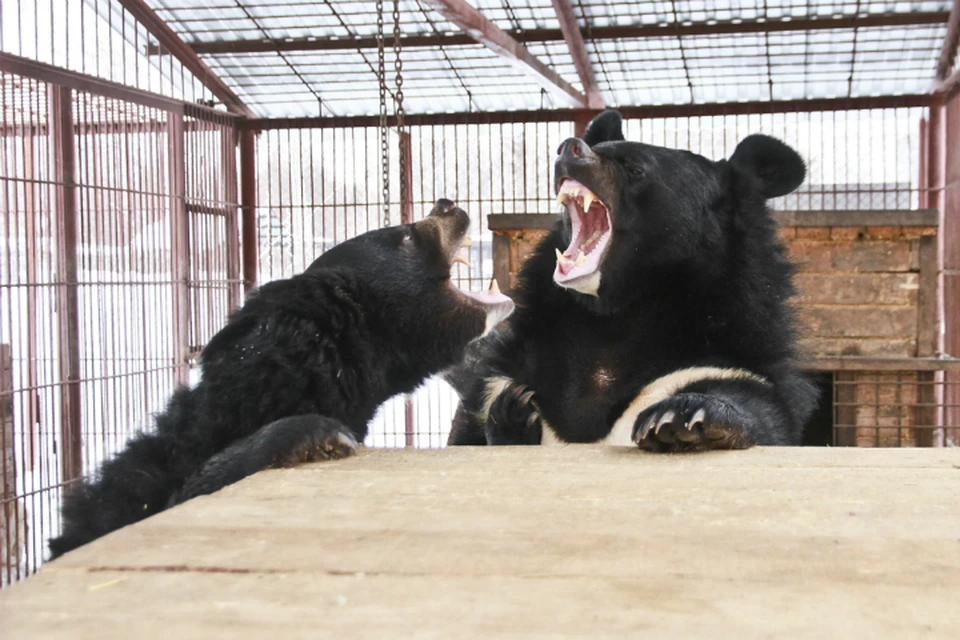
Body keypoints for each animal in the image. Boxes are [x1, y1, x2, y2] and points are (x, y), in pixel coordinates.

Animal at [448, 110, 816, 450]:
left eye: (636, 169)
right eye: (598, 149)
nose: (569, 149)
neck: (613, 312)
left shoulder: (724, 357)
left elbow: (763, 415)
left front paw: (682, 418)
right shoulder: (504, 374)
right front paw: (512, 412)